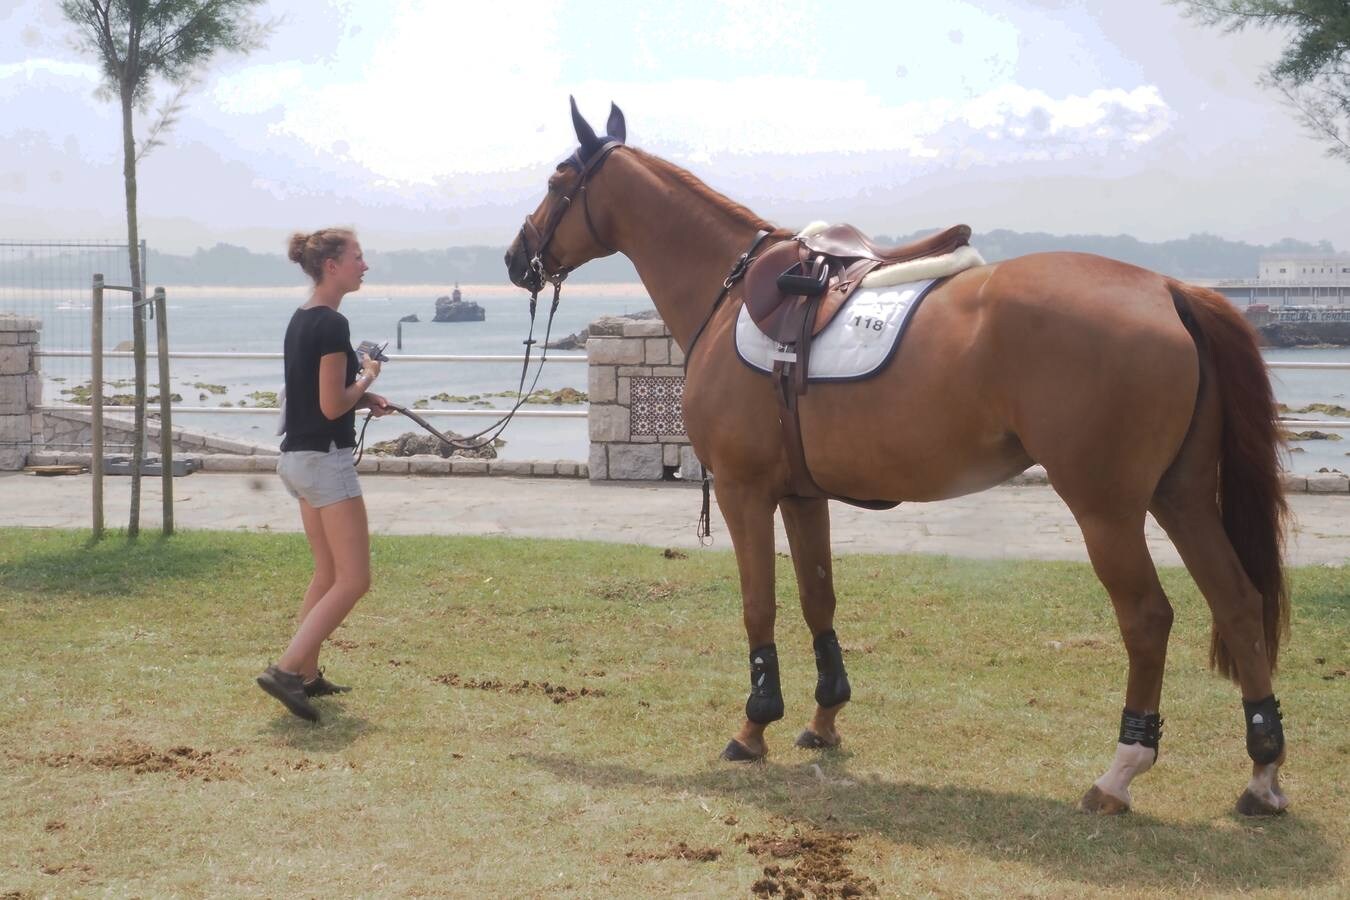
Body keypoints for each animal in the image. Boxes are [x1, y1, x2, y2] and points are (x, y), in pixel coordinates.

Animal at [504, 101, 1285, 820]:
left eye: (557, 178)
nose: (516, 257)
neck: (730, 294)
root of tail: (1168, 289)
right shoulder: (802, 494)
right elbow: (817, 598)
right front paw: (823, 719)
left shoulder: (743, 490)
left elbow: (760, 605)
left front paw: (754, 725)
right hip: (1182, 495)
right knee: (1239, 602)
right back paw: (1262, 772)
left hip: (1107, 509)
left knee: (1149, 618)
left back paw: (1121, 771)